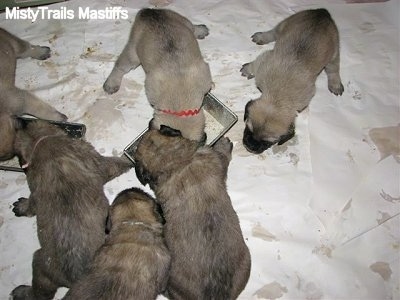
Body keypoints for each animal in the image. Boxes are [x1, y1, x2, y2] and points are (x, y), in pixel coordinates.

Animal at [0, 28, 67, 162]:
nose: (11, 155)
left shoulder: (21, 99)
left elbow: (42, 110)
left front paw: (59, 118)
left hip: (14, 43)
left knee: (26, 49)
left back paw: (40, 52)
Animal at [9, 120, 132, 300]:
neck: (39, 140)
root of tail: (76, 278)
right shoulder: (97, 161)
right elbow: (115, 162)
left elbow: (32, 203)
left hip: (41, 265)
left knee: (40, 292)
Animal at [103, 8, 212, 142]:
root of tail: (147, 12)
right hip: (133, 54)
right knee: (119, 67)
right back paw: (111, 83)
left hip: (180, 20)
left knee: (192, 27)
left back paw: (201, 30)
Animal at [241, 8, 344, 155]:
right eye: (249, 130)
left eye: (268, 142)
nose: (250, 146)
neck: (278, 96)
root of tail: (322, 12)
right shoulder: (263, 62)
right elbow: (254, 65)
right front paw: (248, 69)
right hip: (284, 25)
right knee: (272, 33)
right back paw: (262, 36)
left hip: (334, 52)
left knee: (334, 70)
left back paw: (335, 84)